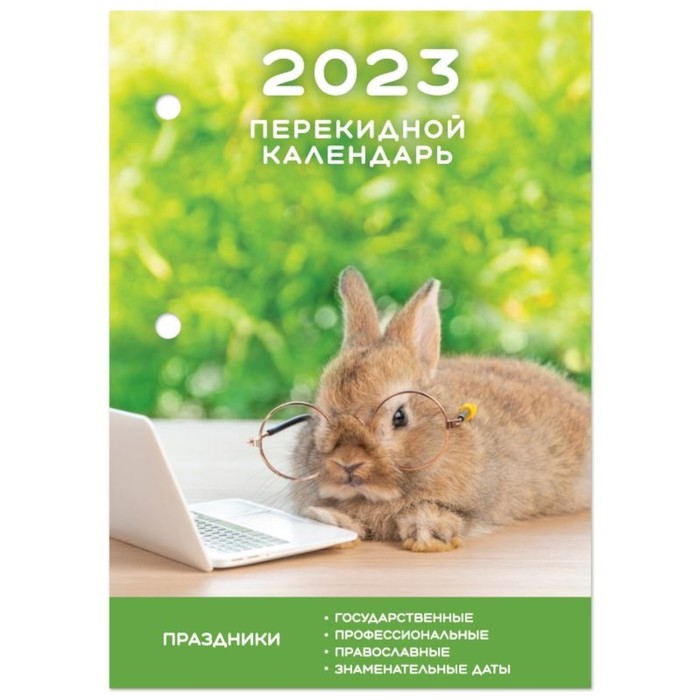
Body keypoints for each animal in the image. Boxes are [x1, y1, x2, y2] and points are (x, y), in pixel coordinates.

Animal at [290, 267, 591, 552]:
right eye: (320, 415)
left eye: (400, 417)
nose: (347, 462)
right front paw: (331, 522)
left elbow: (439, 512)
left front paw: (427, 535)